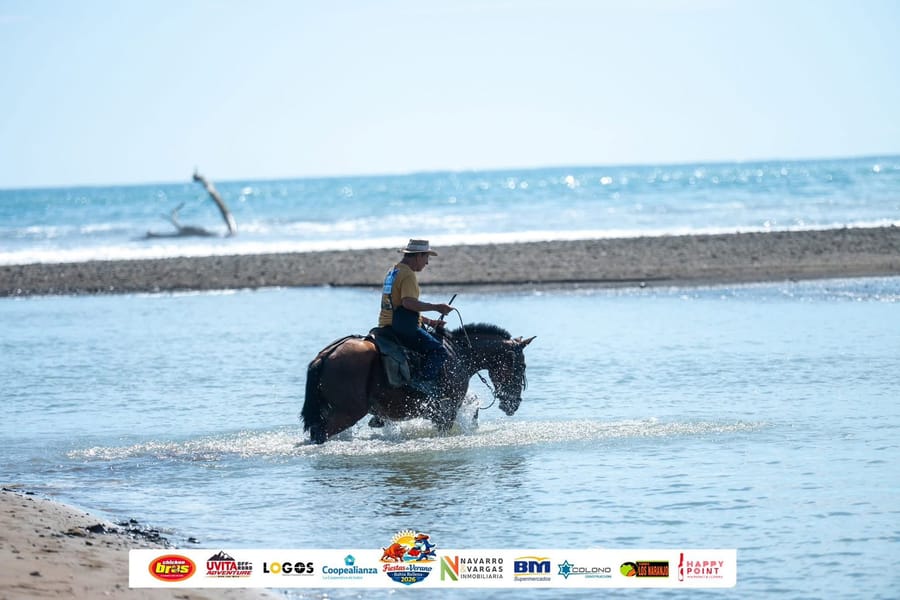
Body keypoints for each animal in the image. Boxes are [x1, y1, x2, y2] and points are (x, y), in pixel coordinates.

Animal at [301, 323, 535, 444]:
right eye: (522, 367)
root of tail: (325, 356)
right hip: (347, 413)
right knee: (320, 434)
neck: (458, 353)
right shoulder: (446, 410)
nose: (513, 405)